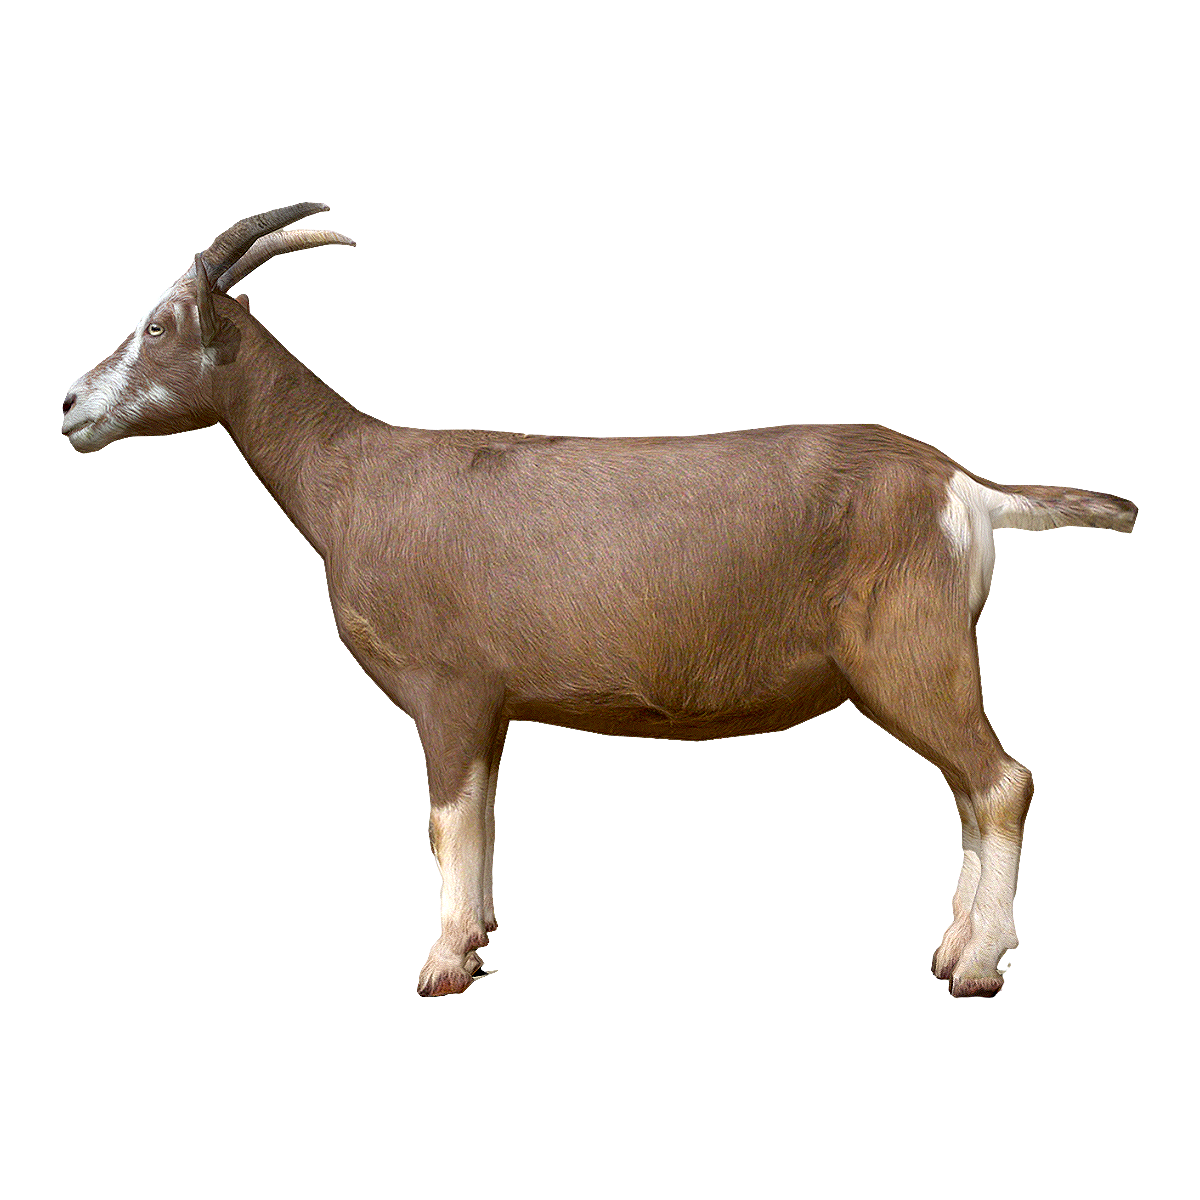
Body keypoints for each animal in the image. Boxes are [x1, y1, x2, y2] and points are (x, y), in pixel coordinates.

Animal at [63, 204, 1138, 998]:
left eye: (158, 326)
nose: (70, 409)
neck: (355, 479)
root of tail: (957, 486)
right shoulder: (489, 705)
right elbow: (480, 819)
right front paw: (480, 942)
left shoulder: (448, 691)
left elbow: (448, 822)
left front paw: (441, 963)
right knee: (972, 786)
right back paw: (955, 948)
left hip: (908, 652)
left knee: (998, 779)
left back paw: (979, 965)